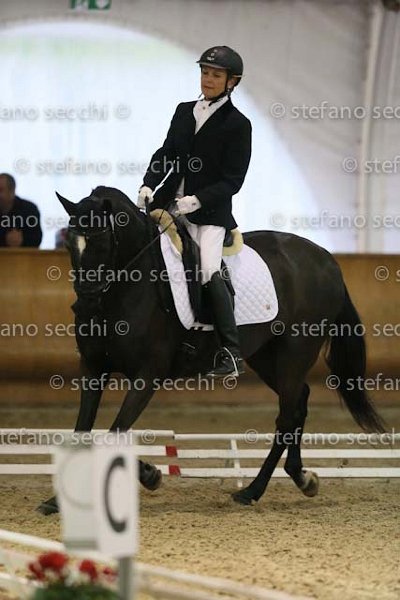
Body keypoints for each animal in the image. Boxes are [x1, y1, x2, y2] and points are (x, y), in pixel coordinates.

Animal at [38, 186, 385, 514]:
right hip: (265, 357)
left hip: (295, 353)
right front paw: (56, 502)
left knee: (287, 417)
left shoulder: (147, 374)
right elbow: (83, 432)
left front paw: (151, 475)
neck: (127, 289)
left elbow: (114, 431)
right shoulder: (93, 368)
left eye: (102, 245)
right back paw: (301, 478)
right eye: (70, 246)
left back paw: (252, 491)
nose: (84, 307)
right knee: (299, 402)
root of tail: (327, 259)